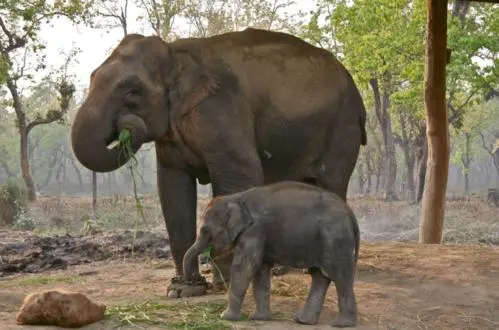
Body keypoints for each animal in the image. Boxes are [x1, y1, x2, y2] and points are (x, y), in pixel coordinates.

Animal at [70, 27, 368, 296]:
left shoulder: (220, 108)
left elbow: (239, 174)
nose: (126, 127)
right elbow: (173, 189)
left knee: (331, 184)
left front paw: (228, 284)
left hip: (343, 128)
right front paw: (183, 290)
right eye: (92, 77)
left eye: (132, 91)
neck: (174, 51)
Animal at [184, 180, 360, 328]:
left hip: (335, 238)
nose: (197, 279)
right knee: (320, 276)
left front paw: (225, 317)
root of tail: (350, 212)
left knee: (340, 276)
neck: (235, 198)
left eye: (205, 230)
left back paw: (342, 324)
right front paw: (257, 318)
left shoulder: (254, 231)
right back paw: (302, 320)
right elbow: (260, 269)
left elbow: (245, 267)